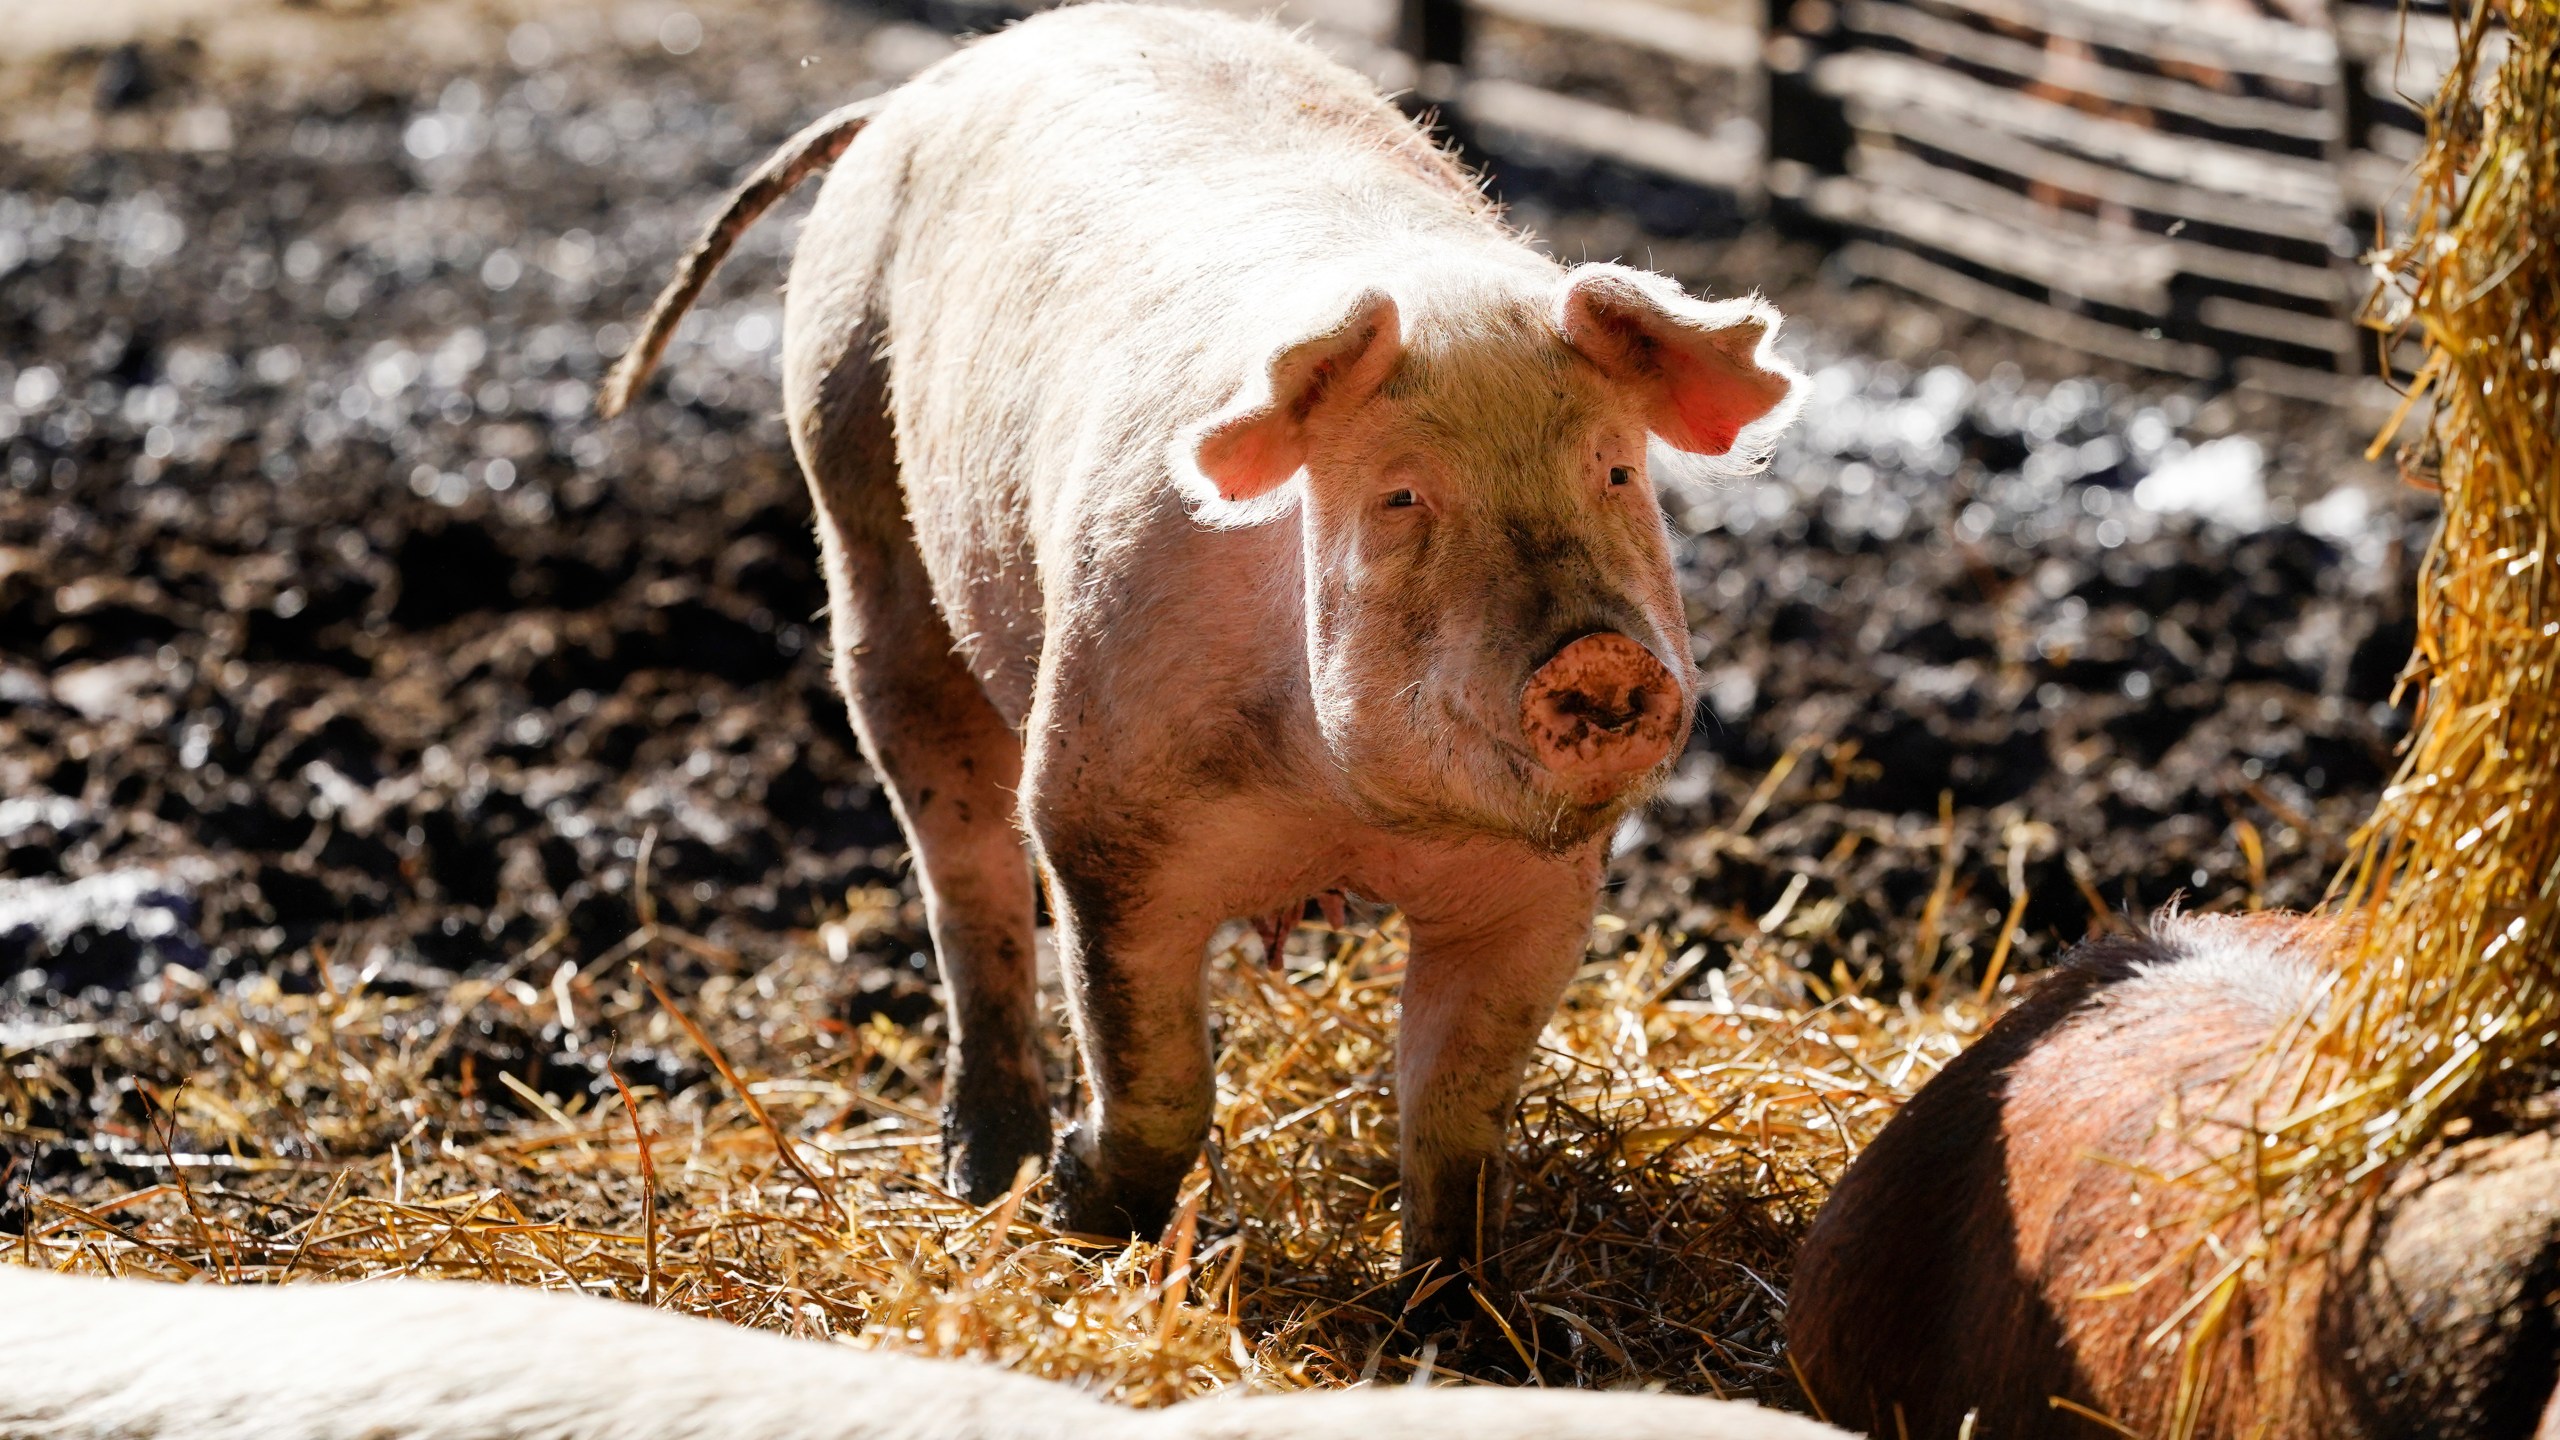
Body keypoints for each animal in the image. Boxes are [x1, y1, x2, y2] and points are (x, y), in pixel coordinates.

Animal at [599, 2, 1802, 1276]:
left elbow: (1457, 1116)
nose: (1597, 654)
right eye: (1399, 497)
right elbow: (1155, 1071)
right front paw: (1084, 1214)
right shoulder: (1101, 812)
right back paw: (987, 1172)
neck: (1344, 813)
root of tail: (926, 86)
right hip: (856, 490)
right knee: (960, 862)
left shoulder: (1540, 884)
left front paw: (1455, 1306)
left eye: (1614, 471)